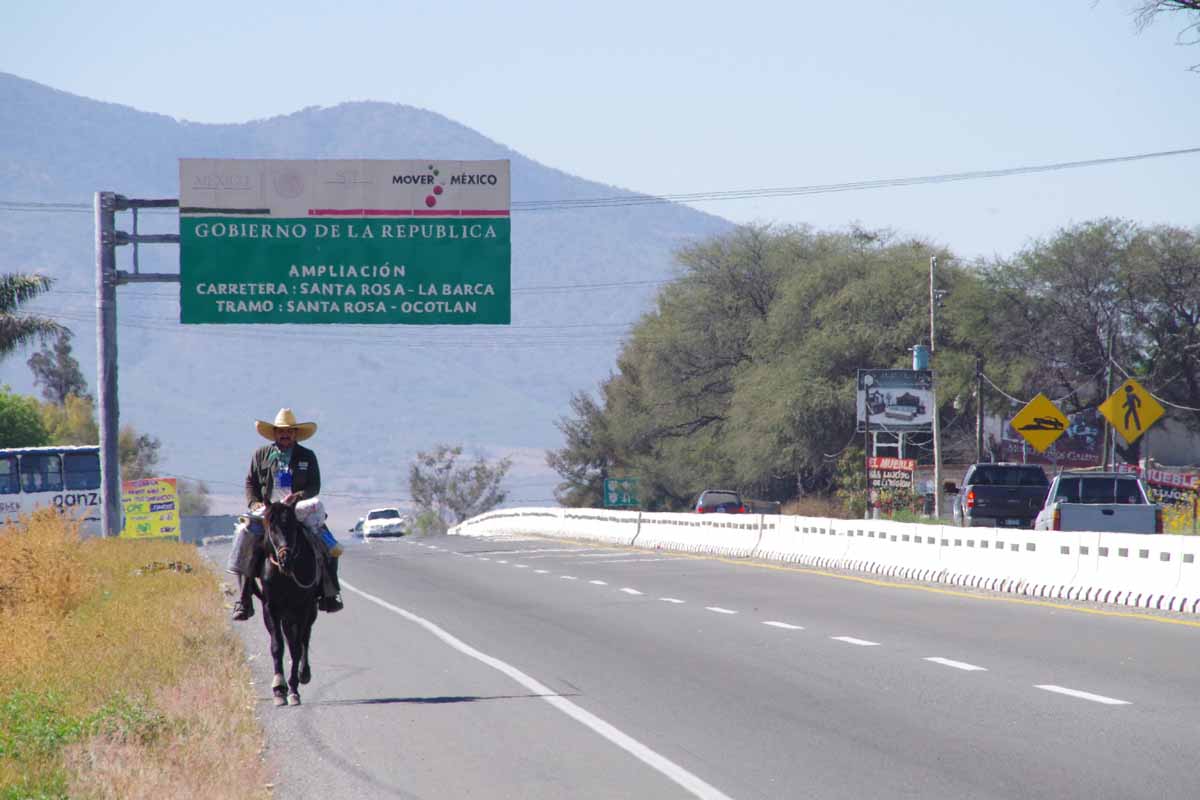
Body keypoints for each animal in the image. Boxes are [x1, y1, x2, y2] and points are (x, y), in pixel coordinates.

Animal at [260, 501, 321, 706]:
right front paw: (279, 689)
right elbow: (277, 646)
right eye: (271, 526)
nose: (285, 559)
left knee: (304, 639)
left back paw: (304, 674)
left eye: (293, 525)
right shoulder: (270, 608)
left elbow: (296, 648)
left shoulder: (303, 609)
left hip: (308, 613)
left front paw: (293, 689)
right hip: (287, 617)